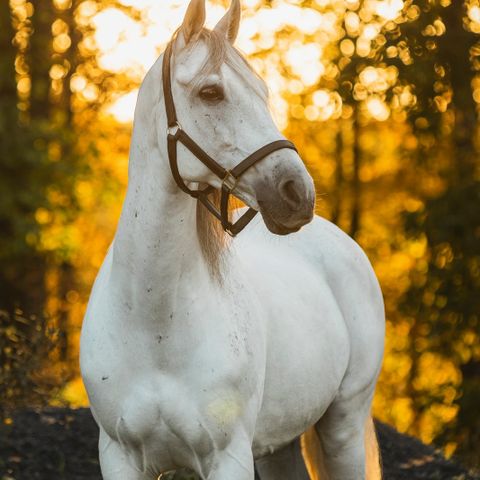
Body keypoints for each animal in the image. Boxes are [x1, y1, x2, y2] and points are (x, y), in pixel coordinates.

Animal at [80, 1, 384, 478]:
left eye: (262, 91)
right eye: (210, 92)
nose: (297, 193)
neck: (154, 322)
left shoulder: (229, 457)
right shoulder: (118, 456)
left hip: (344, 426)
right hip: (279, 444)